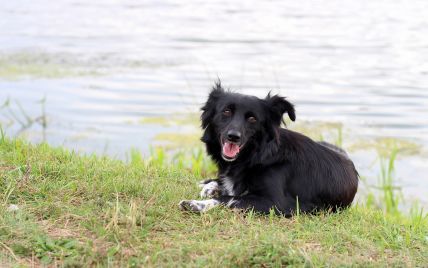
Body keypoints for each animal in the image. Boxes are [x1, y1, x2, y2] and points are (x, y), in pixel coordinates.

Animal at [179, 81, 360, 216]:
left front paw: (196, 204)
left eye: (252, 118)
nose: (233, 136)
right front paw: (208, 188)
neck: (257, 156)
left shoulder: (275, 202)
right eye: (226, 111)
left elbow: (229, 198)